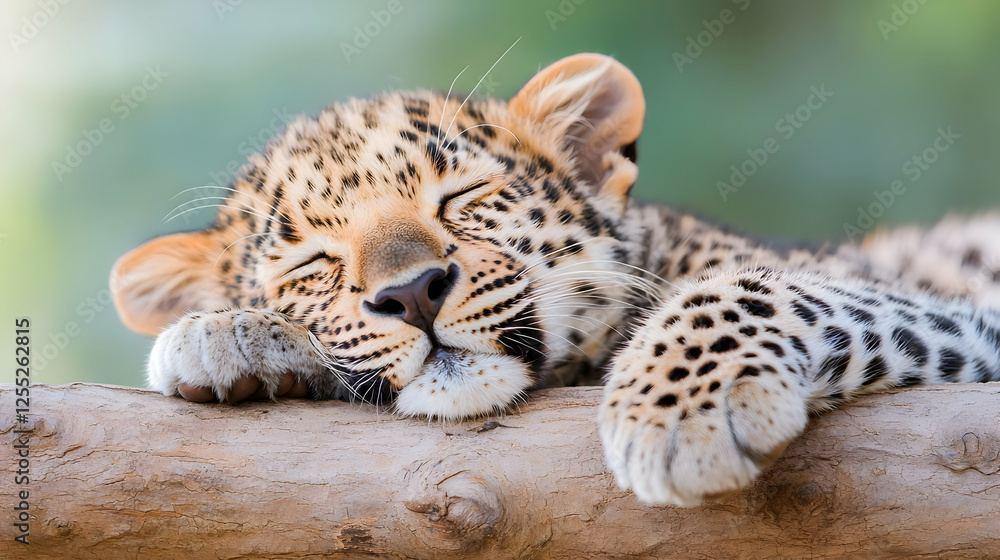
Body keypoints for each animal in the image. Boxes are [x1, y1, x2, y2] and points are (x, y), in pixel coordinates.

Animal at [111, 53, 1000, 507]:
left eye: (463, 199)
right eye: (314, 264)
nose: (413, 292)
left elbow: (748, 288)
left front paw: (681, 412)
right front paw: (223, 333)